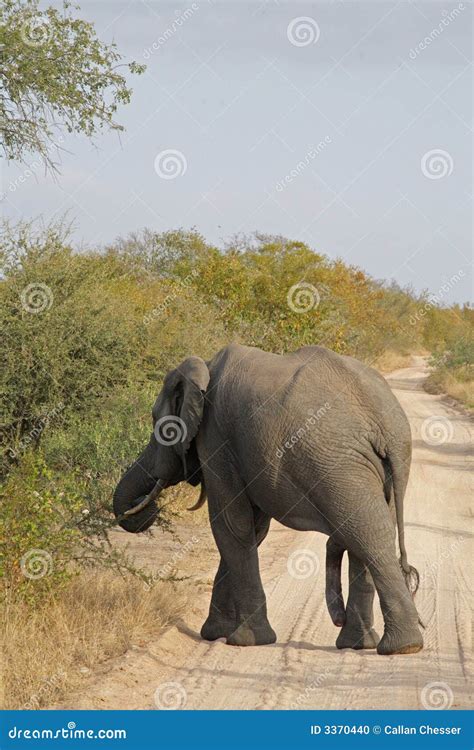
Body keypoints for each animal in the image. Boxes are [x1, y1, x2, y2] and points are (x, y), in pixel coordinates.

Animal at [114, 344, 422, 656]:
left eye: (158, 423)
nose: (147, 506)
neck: (205, 367)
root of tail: (387, 425)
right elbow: (254, 529)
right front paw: (215, 634)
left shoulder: (216, 437)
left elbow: (230, 525)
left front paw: (243, 640)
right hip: (373, 468)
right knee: (370, 532)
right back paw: (370, 645)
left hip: (339, 464)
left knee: (366, 533)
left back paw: (399, 647)